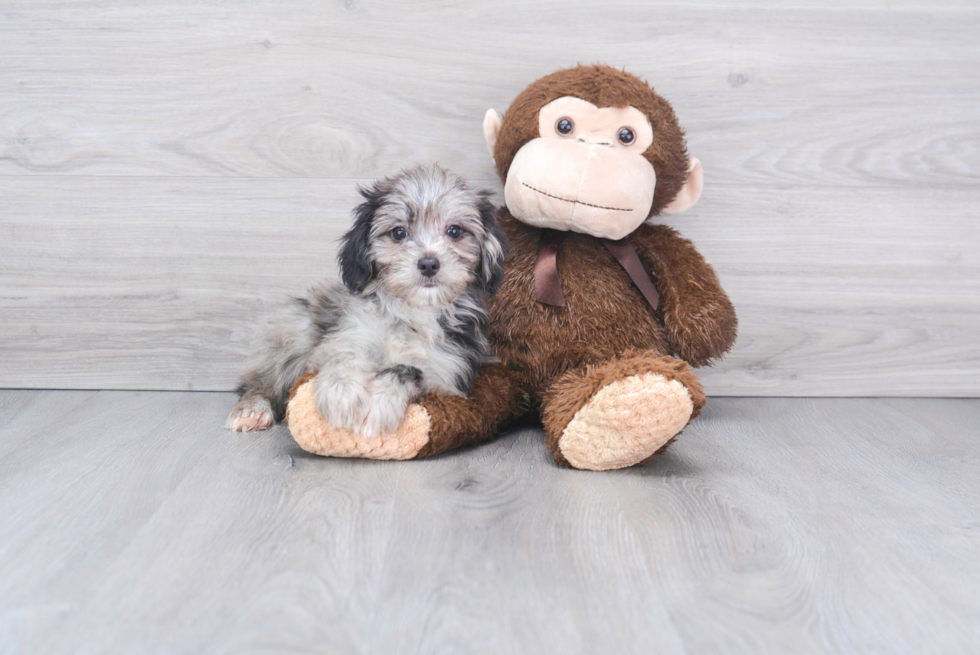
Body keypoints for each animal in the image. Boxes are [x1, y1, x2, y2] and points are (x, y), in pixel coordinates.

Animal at [227, 165, 510, 436]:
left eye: (455, 231)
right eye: (398, 233)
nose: (429, 263)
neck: (414, 312)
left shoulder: (446, 376)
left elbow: (408, 370)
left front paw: (380, 402)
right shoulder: (345, 338)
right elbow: (344, 357)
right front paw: (341, 393)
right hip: (294, 330)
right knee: (259, 383)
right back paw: (252, 410)